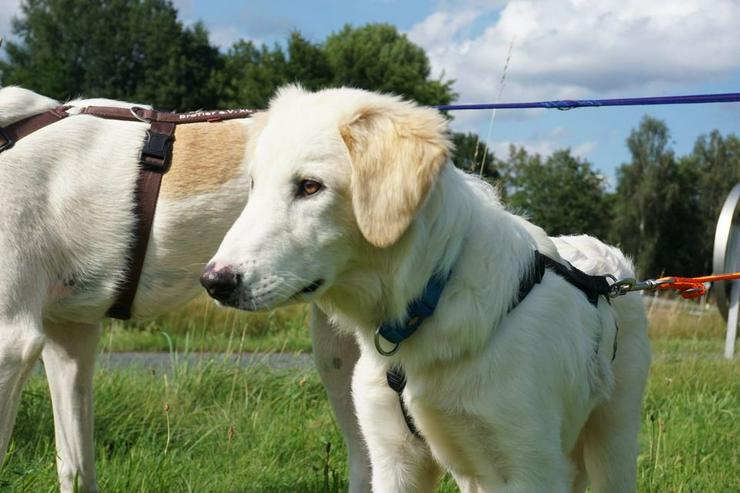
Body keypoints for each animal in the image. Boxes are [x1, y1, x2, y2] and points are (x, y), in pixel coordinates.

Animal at [205, 86, 652, 490]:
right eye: (253, 185)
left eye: (310, 186)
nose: (214, 282)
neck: (428, 302)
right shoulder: (394, 460)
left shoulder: (530, 466)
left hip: (612, 445)